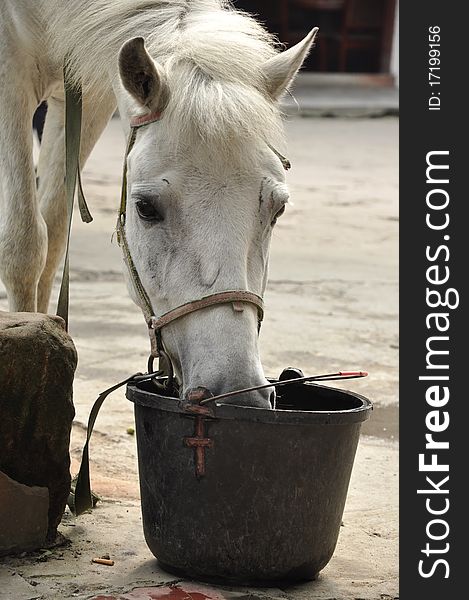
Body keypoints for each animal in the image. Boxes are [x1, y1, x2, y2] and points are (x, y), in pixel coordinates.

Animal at [0, 0, 316, 408]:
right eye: (145, 208)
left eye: (278, 210)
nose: (237, 392)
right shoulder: (11, 70)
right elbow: (25, 245)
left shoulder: (91, 90)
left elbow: (53, 234)